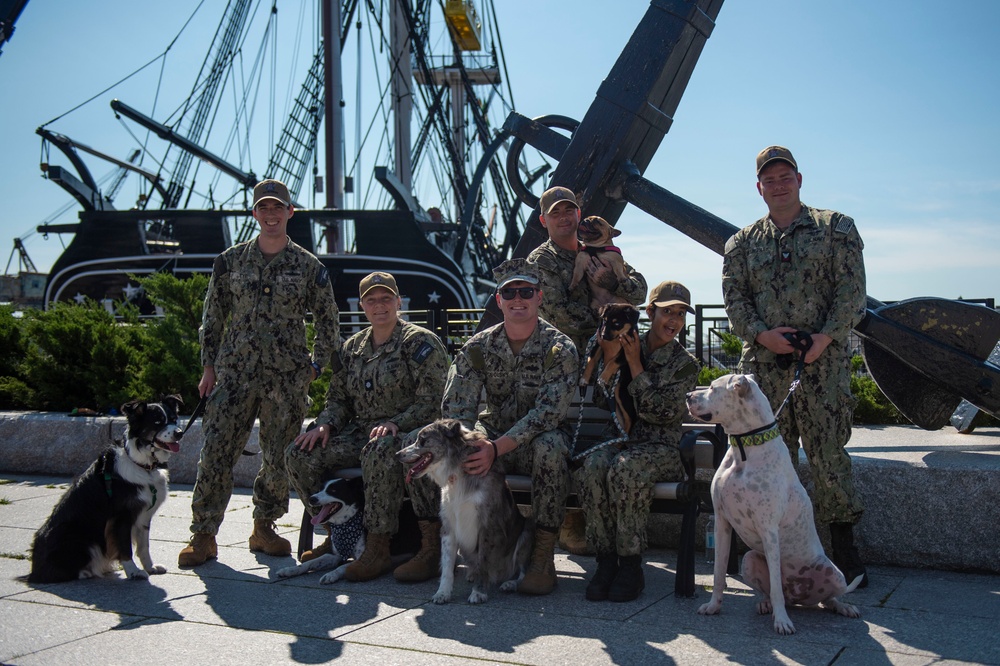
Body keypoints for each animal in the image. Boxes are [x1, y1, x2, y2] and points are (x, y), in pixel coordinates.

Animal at [27, 394, 183, 580]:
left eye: (174, 419)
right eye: (157, 422)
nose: (180, 433)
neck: (143, 465)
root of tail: (34, 569)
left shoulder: (143, 514)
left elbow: (143, 546)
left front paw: (150, 567)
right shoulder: (121, 516)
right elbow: (124, 546)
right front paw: (133, 571)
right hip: (76, 535)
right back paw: (86, 572)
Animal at [276, 474, 420, 584]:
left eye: (333, 490)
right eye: (320, 489)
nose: (312, 498)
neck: (345, 524)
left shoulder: (361, 559)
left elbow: (344, 567)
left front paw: (331, 574)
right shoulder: (336, 555)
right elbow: (312, 561)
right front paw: (290, 570)